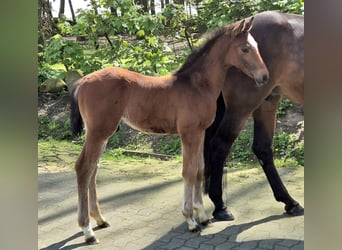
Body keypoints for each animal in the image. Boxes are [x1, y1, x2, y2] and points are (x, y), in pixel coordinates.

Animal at [70, 18, 268, 244]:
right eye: (245, 48)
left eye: (256, 45)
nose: (264, 76)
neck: (197, 85)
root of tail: (82, 81)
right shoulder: (189, 133)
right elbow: (188, 172)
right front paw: (190, 220)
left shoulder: (200, 132)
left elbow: (199, 170)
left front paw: (202, 215)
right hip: (99, 132)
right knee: (83, 168)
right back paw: (88, 231)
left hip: (101, 133)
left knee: (93, 169)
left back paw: (100, 219)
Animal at [203, 10, 304, 221]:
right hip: (242, 107)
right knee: (219, 145)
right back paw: (220, 206)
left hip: (267, 102)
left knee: (262, 148)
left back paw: (290, 202)